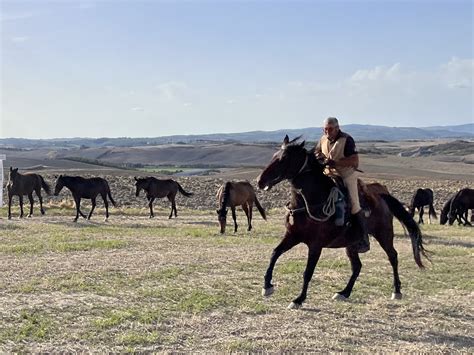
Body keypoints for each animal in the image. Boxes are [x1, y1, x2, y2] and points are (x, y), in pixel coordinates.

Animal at [258, 136, 428, 308]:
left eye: (284, 158)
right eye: (274, 155)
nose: (260, 181)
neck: (308, 203)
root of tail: (381, 197)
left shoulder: (315, 245)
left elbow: (308, 272)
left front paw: (299, 299)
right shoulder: (292, 237)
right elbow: (275, 253)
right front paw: (267, 286)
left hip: (384, 235)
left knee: (392, 256)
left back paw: (397, 291)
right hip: (351, 244)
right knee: (357, 266)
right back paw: (344, 293)